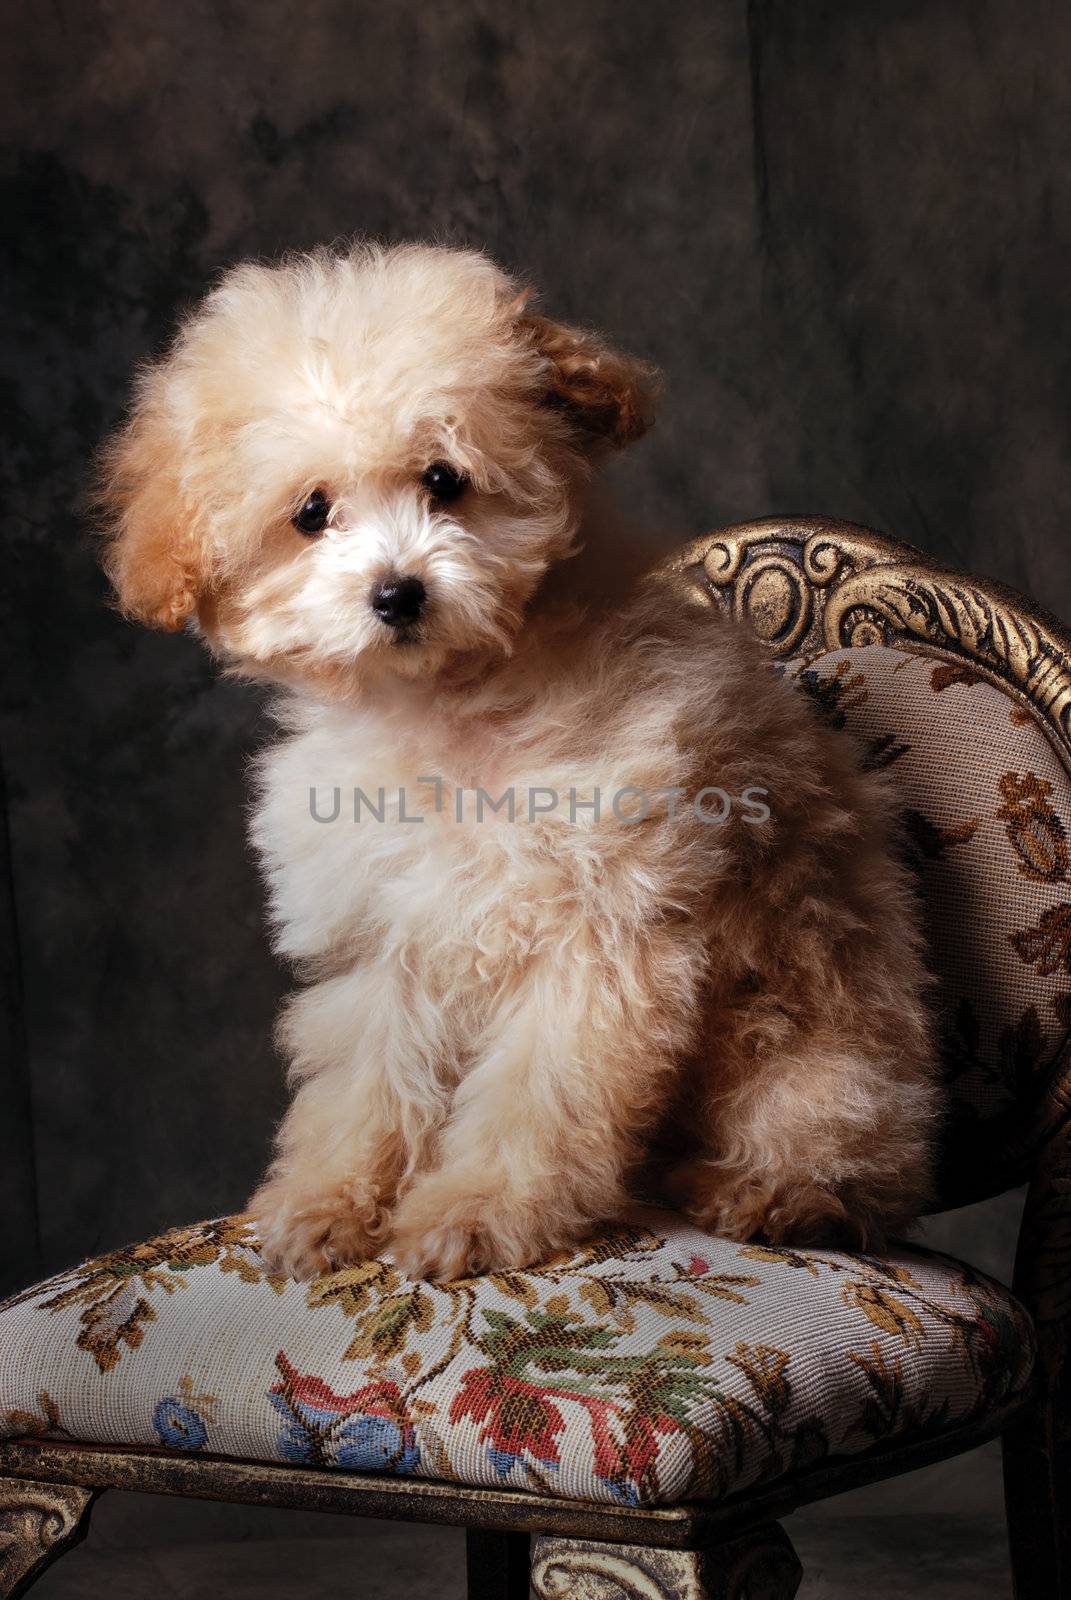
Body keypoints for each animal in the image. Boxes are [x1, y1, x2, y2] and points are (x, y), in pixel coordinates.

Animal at [100, 243, 934, 1280]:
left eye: (445, 478)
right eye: (311, 513)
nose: (397, 593)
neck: (452, 709)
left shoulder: (597, 938)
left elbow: (539, 1094)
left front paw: (478, 1209)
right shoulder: (388, 936)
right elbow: (368, 1080)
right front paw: (330, 1199)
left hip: (823, 1049)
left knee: (844, 1150)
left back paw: (771, 1193)